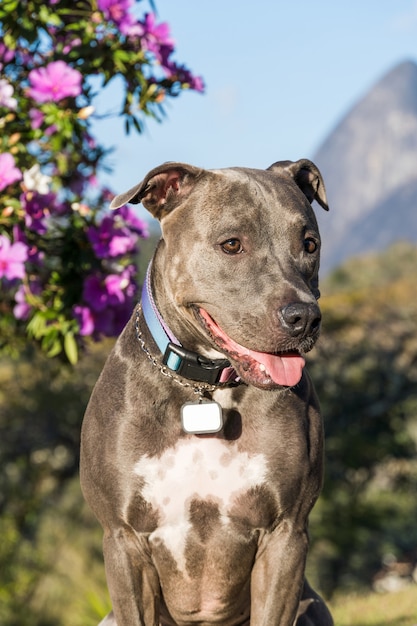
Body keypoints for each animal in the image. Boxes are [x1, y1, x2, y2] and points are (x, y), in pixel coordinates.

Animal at [80, 157, 334, 624]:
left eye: (309, 244)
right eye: (231, 244)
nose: (304, 317)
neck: (204, 386)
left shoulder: (286, 533)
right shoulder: (123, 538)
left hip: (311, 606)